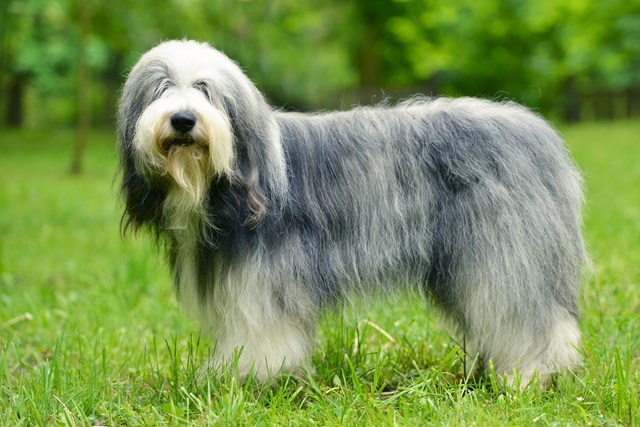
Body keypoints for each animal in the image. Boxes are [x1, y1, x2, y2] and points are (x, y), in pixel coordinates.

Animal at [117, 40, 588, 388]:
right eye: (160, 88)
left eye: (204, 88)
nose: (182, 120)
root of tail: (538, 133)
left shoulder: (265, 282)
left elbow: (263, 334)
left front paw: (255, 381)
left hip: (501, 253)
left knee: (527, 317)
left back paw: (531, 376)